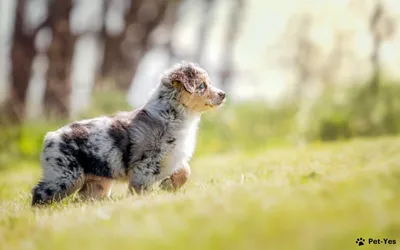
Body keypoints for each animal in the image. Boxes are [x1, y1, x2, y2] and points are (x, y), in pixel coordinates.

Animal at [31, 62, 225, 205]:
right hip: (65, 176)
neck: (174, 115)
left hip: (97, 183)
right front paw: (141, 201)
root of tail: (51, 136)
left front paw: (168, 185)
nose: (223, 94)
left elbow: (185, 170)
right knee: (40, 192)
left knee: (82, 198)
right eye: (202, 85)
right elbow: (141, 188)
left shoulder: (173, 157)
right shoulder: (145, 164)